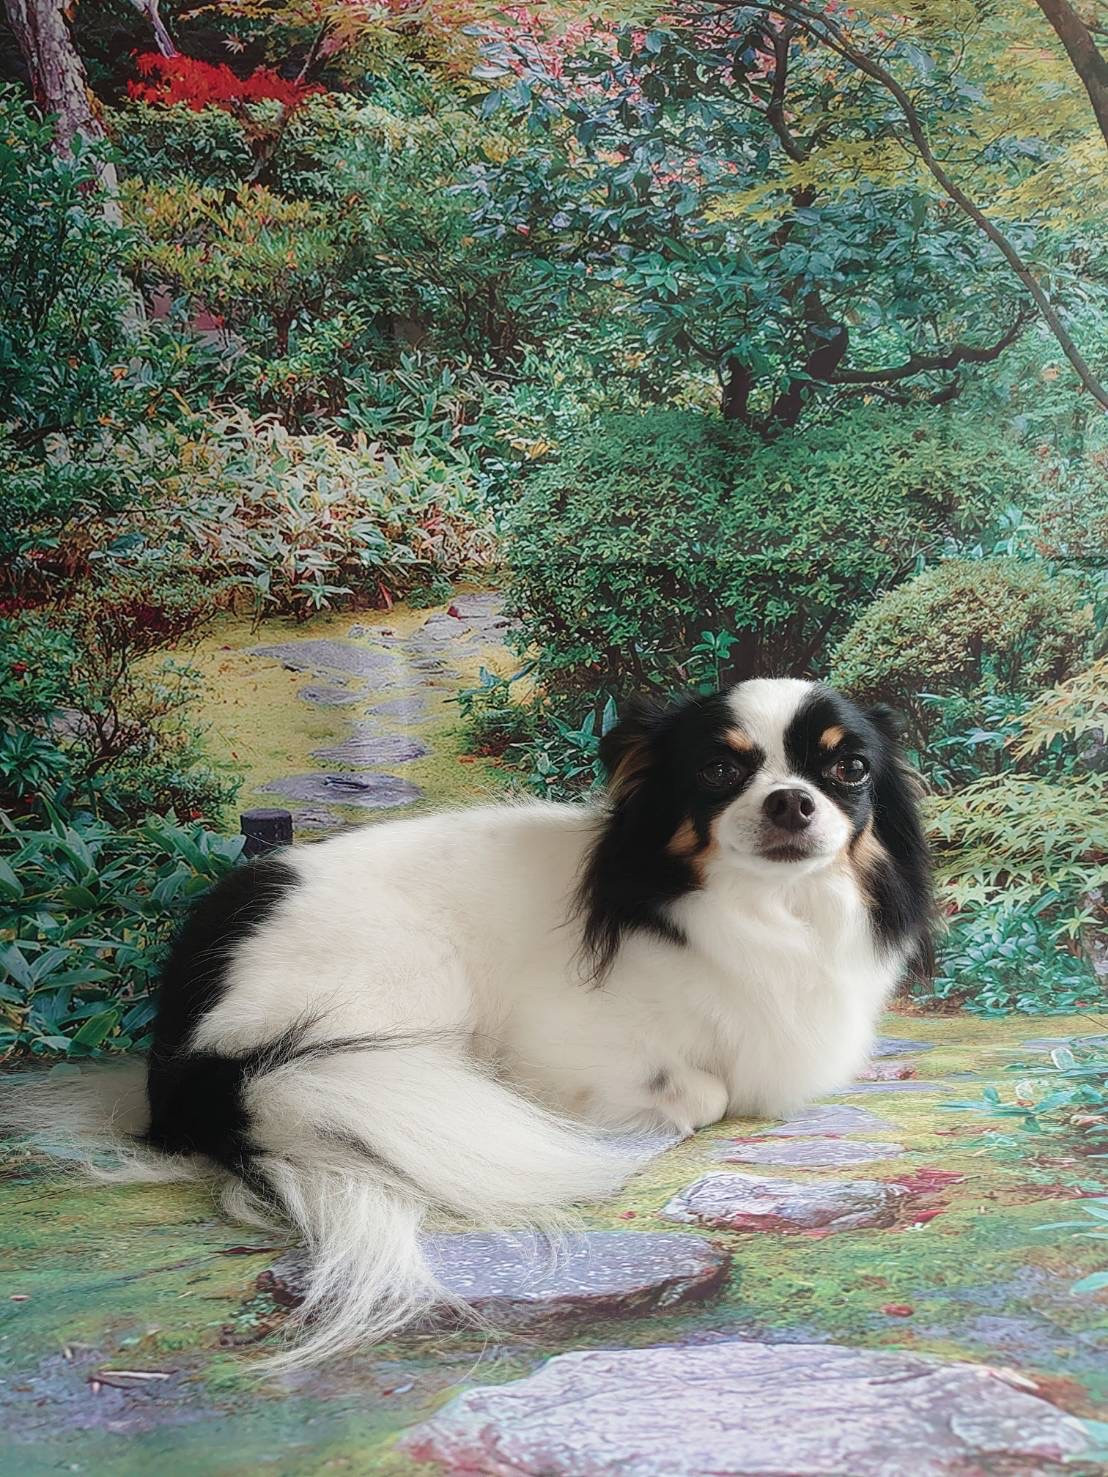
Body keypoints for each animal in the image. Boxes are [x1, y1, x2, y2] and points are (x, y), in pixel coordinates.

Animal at [3, 678, 931, 1365]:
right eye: (717, 771)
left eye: (848, 770)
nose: (791, 802)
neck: (765, 916)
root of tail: (185, 1064)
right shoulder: (572, 1045)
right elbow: (699, 1090)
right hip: (407, 980)